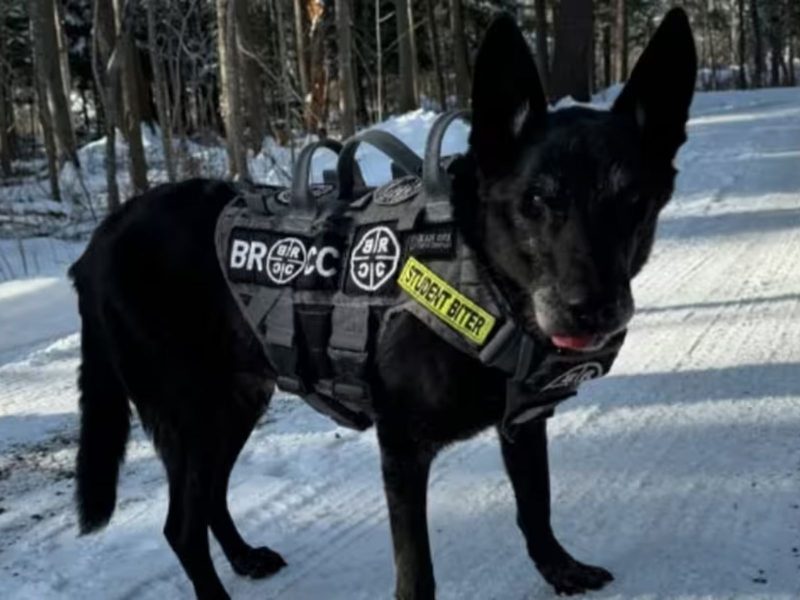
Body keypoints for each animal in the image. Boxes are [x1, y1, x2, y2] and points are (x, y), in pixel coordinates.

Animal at [72, 10, 696, 600]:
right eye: (537, 200)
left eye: (632, 201)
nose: (594, 309)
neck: (481, 276)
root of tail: (98, 243)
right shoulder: (402, 449)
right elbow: (417, 572)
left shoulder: (522, 424)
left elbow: (535, 508)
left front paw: (558, 569)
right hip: (197, 413)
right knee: (181, 526)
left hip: (237, 401)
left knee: (208, 503)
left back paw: (246, 558)